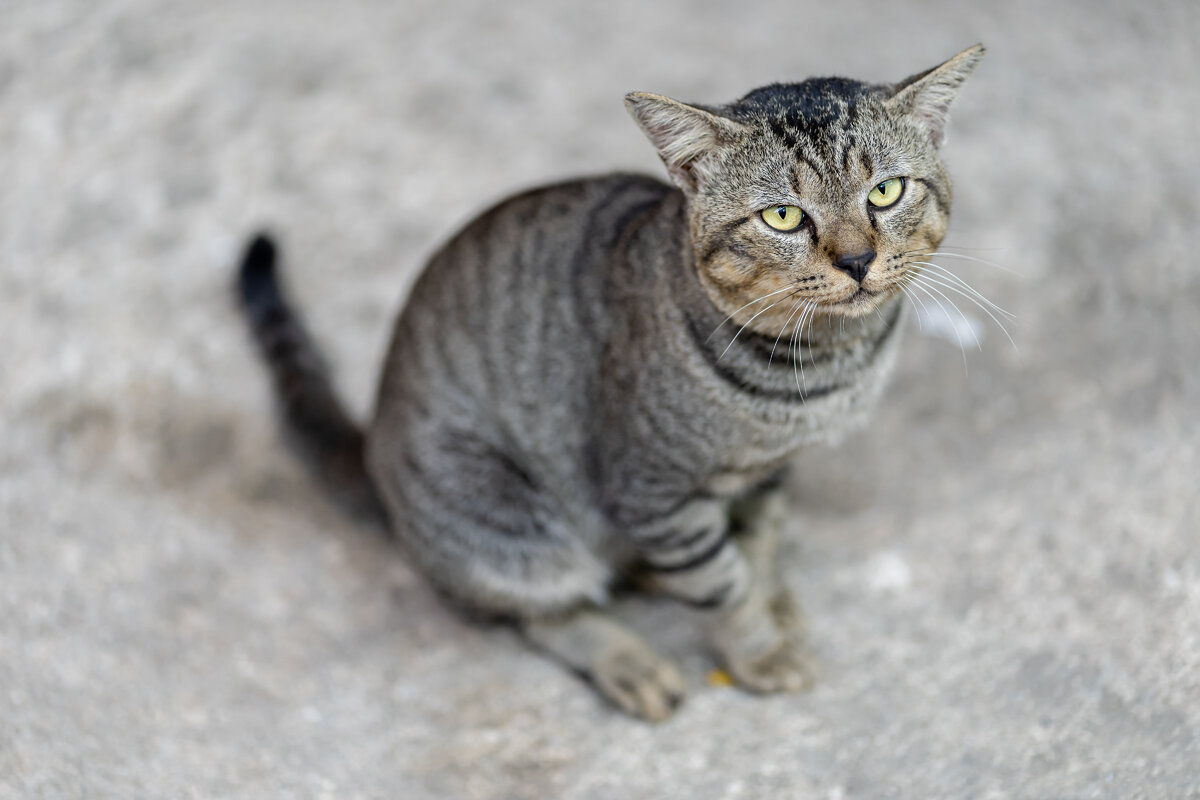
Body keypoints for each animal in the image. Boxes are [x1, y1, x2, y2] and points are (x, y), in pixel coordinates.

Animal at [234, 43, 984, 724]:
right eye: (782, 216)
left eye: (885, 192)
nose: (858, 260)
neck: (826, 366)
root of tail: (372, 449)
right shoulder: (651, 487)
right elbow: (722, 583)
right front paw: (756, 649)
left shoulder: (768, 475)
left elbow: (759, 544)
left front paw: (772, 599)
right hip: (505, 516)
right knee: (541, 611)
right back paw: (628, 661)